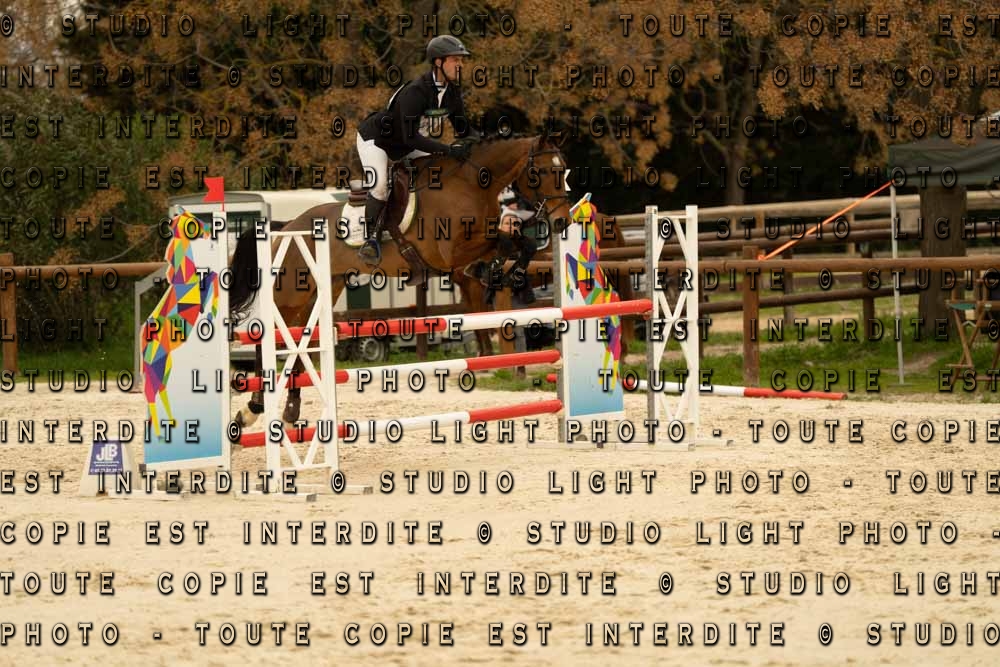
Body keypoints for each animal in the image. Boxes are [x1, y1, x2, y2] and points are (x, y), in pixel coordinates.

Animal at [227, 132, 574, 427]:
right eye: (543, 171)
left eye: (564, 170)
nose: (562, 221)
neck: (471, 184)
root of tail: (285, 227)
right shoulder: (451, 252)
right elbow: (506, 243)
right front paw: (493, 272)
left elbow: (521, 244)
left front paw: (506, 274)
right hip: (289, 293)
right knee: (267, 336)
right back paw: (253, 408)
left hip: (319, 291)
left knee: (298, 339)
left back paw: (289, 410)